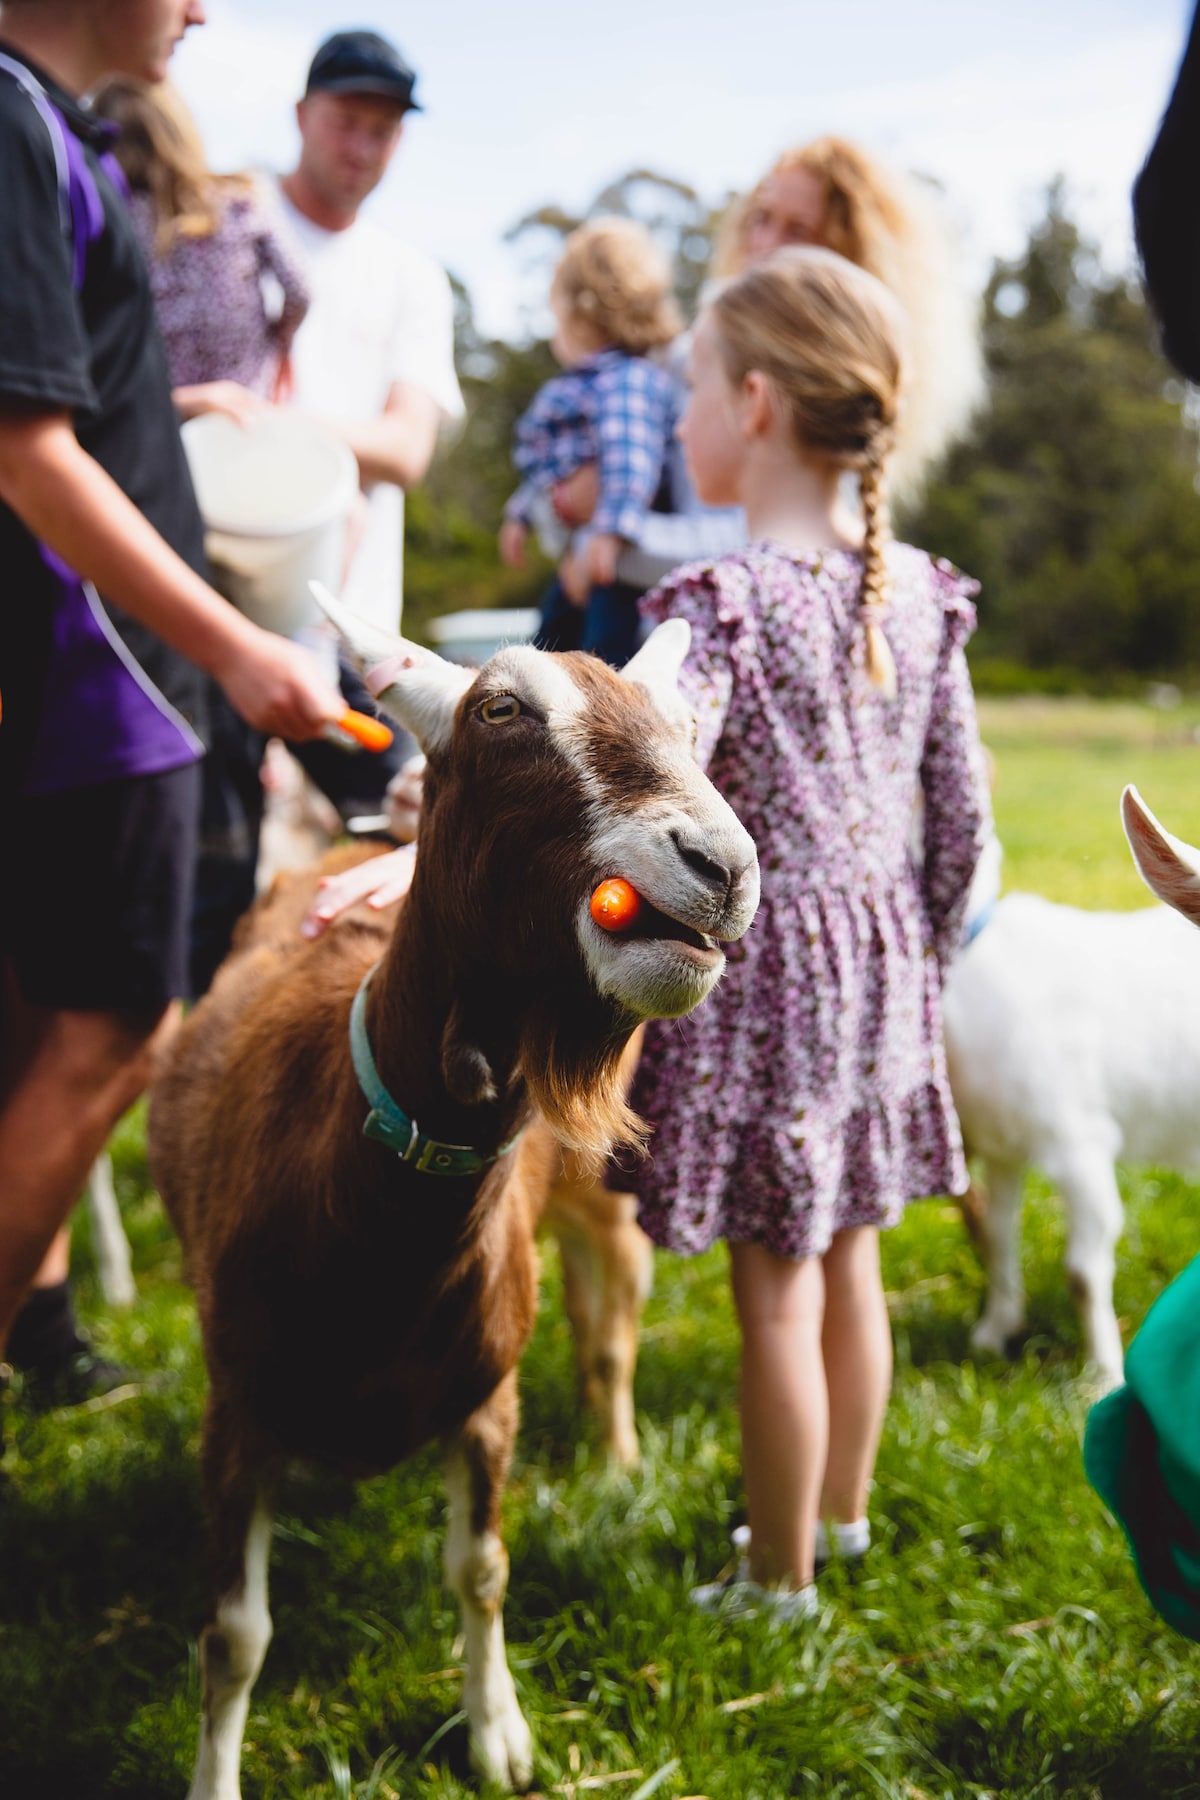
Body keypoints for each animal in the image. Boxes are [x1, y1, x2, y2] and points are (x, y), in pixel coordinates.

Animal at [145, 608, 755, 1800]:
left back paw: (619, 1462)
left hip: (607, 1214)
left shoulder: (487, 1399)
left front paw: (496, 1732)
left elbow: (480, 1567)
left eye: (689, 721)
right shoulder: (235, 1403)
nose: (722, 867)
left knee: (608, 1340)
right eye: (500, 710)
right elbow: (234, 1637)